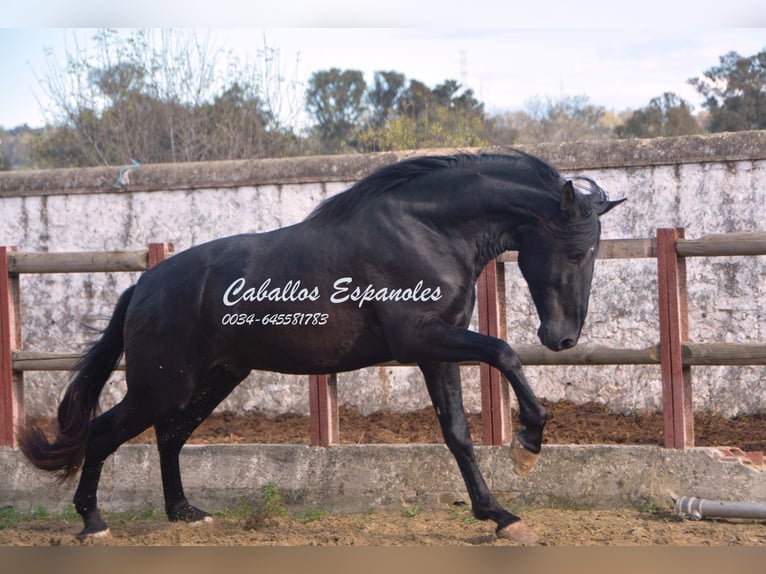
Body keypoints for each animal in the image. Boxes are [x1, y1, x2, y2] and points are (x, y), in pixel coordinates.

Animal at [19, 148, 624, 544]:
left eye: (594, 253)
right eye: (576, 253)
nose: (562, 337)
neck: (428, 231)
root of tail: (143, 286)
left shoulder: (435, 352)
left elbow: (458, 434)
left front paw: (499, 515)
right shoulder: (423, 338)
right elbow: (504, 353)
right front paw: (528, 444)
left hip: (214, 379)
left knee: (169, 437)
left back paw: (186, 513)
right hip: (162, 384)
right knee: (104, 432)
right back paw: (92, 524)